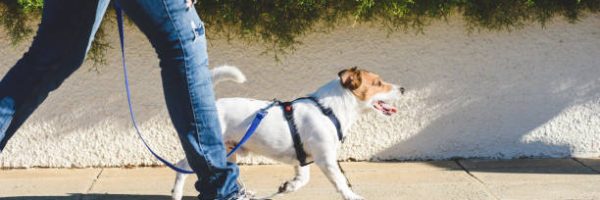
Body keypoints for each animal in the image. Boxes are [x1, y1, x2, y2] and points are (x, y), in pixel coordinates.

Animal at [171, 65, 406, 200]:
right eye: (378, 83)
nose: (403, 89)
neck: (329, 108)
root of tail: (212, 106)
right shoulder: (326, 159)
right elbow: (340, 181)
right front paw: (351, 195)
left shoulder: (302, 158)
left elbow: (303, 179)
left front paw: (289, 186)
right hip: (210, 150)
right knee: (182, 168)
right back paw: (177, 194)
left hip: (230, 152)